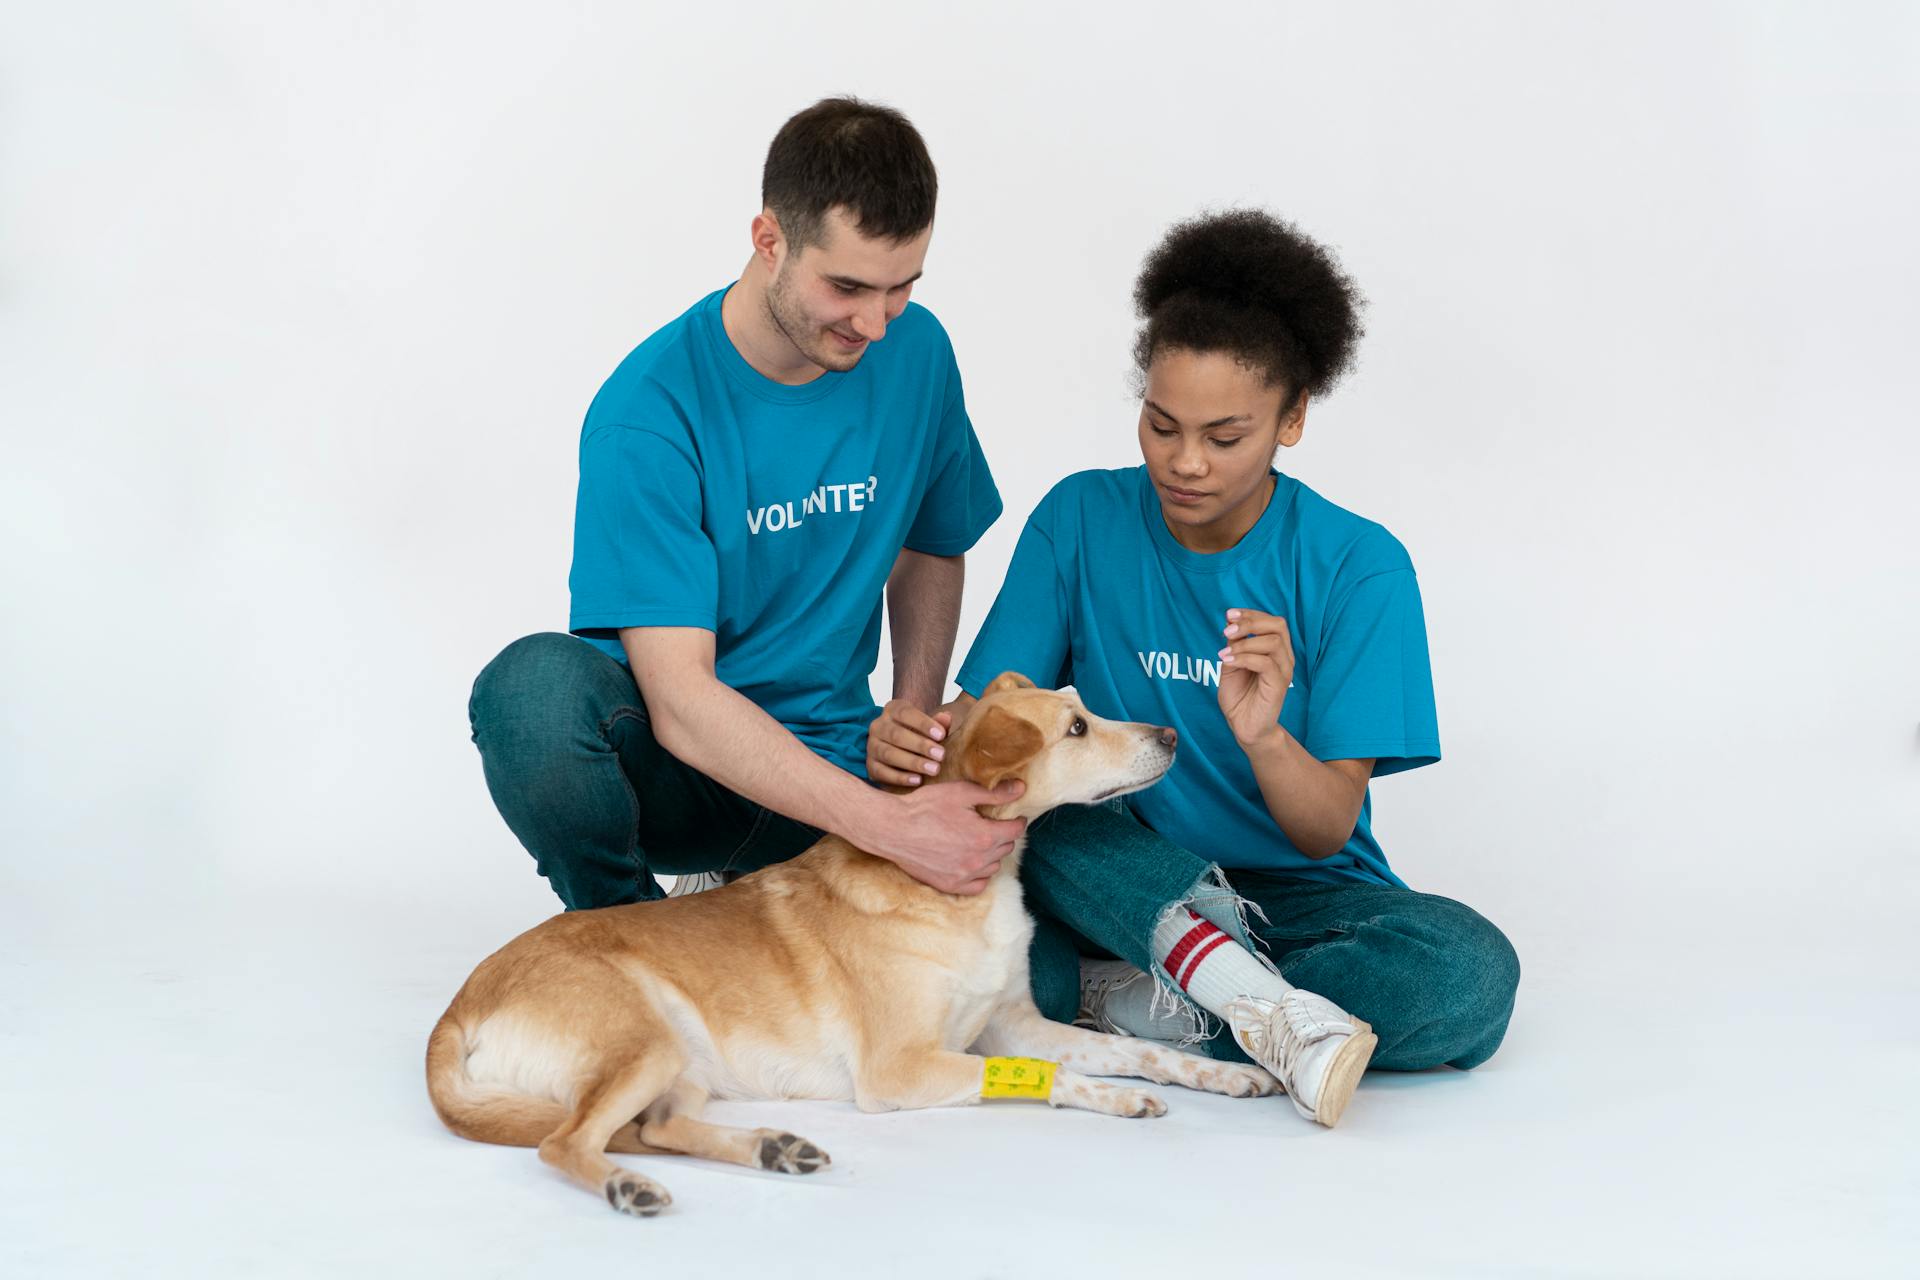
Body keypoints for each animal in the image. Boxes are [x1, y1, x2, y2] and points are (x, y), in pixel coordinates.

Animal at [428, 675, 1282, 1220]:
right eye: (1076, 728)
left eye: (1085, 708)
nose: (1171, 733)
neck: (963, 896)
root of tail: (459, 1004)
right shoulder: (901, 1069)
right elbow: (1058, 1076)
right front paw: (1115, 1100)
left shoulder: (1010, 1023)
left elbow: (1135, 1052)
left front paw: (1220, 1075)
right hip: (644, 1037)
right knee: (567, 1142)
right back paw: (626, 1189)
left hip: (679, 1062)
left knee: (656, 1130)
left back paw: (772, 1150)